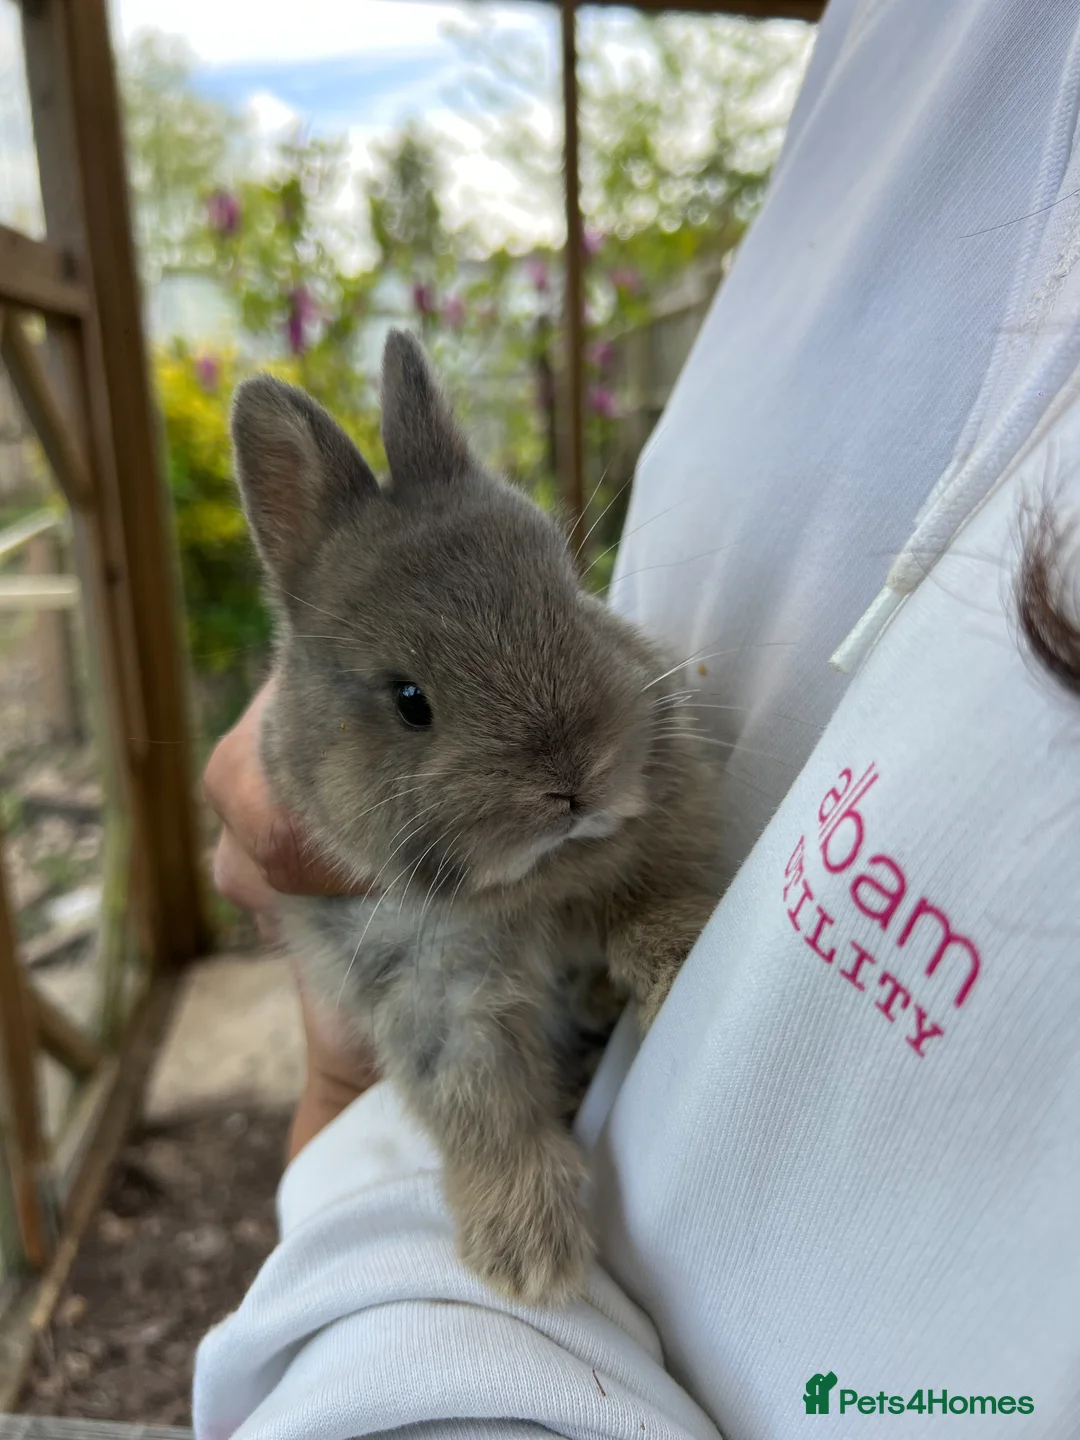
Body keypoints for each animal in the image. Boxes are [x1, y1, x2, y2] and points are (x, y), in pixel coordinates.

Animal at [230, 329, 723, 1305]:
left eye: (571, 598)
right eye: (409, 700)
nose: (573, 782)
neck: (534, 881)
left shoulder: (660, 839)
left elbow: (654, 908)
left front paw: (681, 957)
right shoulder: (429, 987)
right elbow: (482, 1104)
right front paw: (529, 1254)